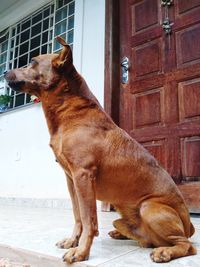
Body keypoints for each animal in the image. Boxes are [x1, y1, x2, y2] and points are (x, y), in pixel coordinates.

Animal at [3, 36, 196, 264]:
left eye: (32, 62)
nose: (4, 72)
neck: (69, 111)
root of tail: (189, 225)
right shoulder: (71, 179)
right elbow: (78, 215)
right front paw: (73, 241)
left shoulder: (83, 175)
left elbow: (89, 219)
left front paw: (81, 251)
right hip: (122, 219)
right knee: (143, 237)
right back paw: (123, 234)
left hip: (149, 207)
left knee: (186, 246)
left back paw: (165, 252)